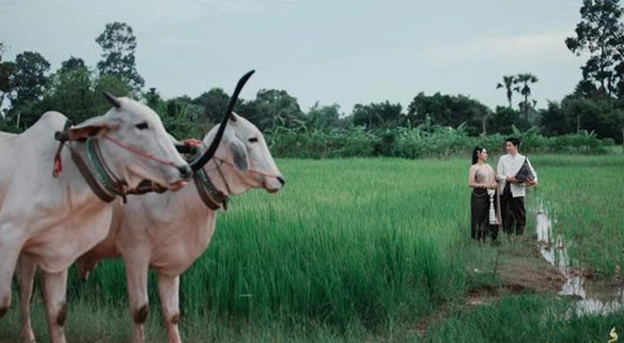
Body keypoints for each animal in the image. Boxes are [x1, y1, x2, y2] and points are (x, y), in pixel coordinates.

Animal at [0, 92, 197, 343]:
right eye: (141, 125)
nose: (185, 170)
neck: (66, 175)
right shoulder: (9, 238)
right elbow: (3, 304)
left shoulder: (56, 252)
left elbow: (57, 313)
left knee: (25, 288)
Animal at [65, 111, 280, 342]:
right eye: (252, 139)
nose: (280, 179)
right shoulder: (135, 256)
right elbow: (140, 311)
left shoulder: (170, 267)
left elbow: (172, 314)